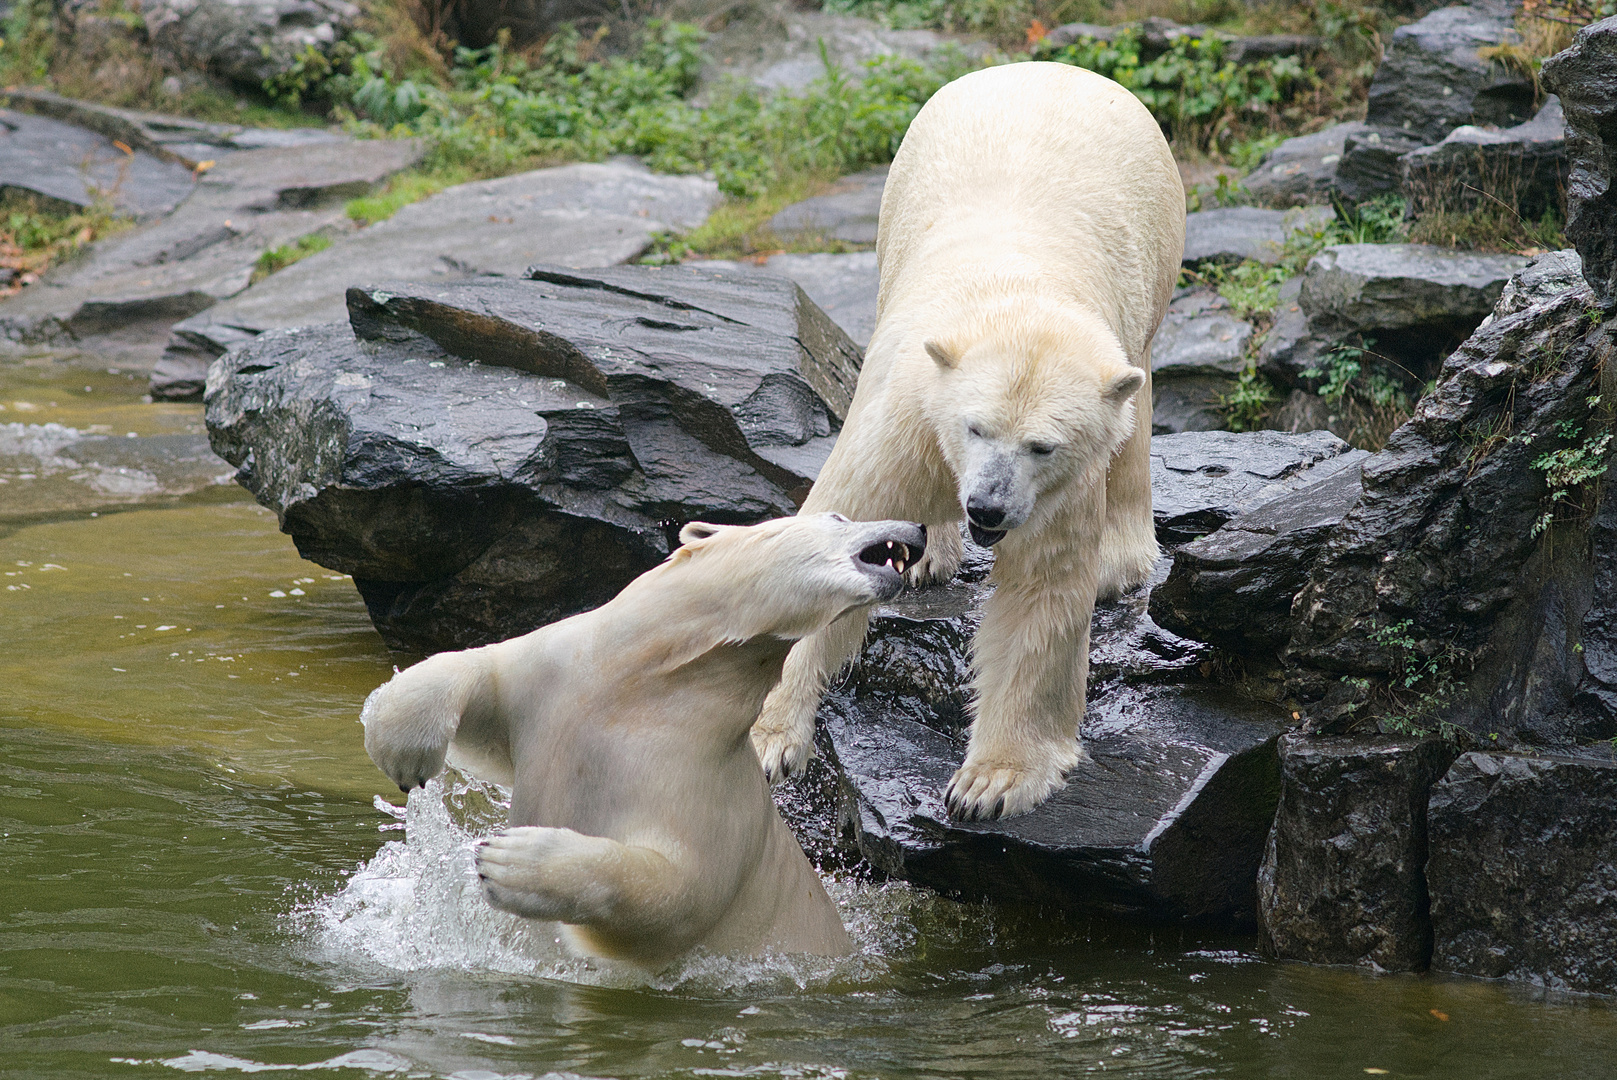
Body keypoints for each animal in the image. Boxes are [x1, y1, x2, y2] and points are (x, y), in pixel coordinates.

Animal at [360, 510, 931, 963]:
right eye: (838, 516)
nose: (920, 529)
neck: (650, 682)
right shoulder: (564, 675)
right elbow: (487, 677)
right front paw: (402, 750)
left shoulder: (702, 774)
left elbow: (676, 893)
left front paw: (509, 862)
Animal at [747, 61, 1190, 818]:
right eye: (974, 426)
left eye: (1043, 446)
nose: (987, 507)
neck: (1015, 290)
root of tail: (1052, 65)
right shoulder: (903, 414)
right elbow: (834, 540)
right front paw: (773, 740)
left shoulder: (1058, 488)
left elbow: (1039, 594)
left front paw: (991, 783)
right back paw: (928, 554)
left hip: (1152, 256)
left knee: (1135, 415)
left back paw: (1117, 559)